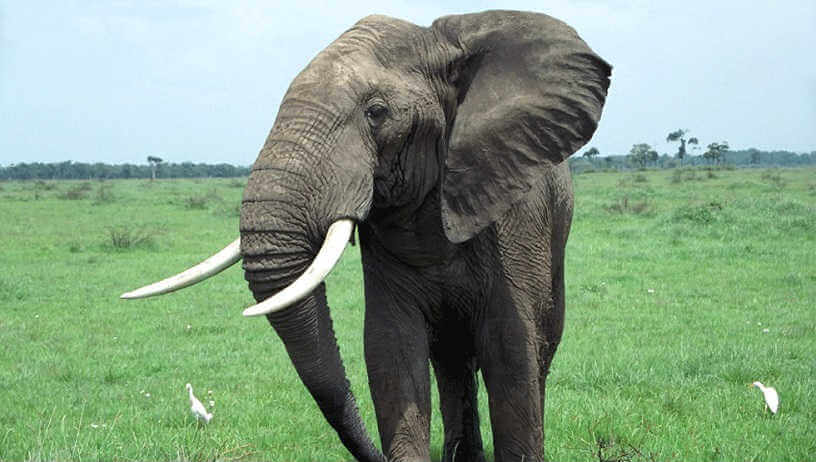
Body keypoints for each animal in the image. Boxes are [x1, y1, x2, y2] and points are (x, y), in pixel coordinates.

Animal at [119, 9, 604, 462]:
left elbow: (511, 350)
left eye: (376, 113)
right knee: (450, 361)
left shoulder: (514, 219)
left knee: (537, 351)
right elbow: (391, 350)